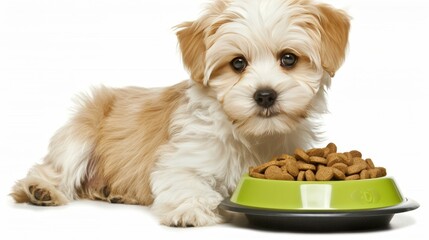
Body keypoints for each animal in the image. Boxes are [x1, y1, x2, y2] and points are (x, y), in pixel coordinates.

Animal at [11, 0, 350, 227]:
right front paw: (191, 209)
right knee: (54, 169)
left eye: (289, 59)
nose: (265, 95)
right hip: (81, 130)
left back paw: (114, 193)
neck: (251, 134)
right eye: (238, 63)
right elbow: (187, 182)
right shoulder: (181, 160)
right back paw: (41, 190)